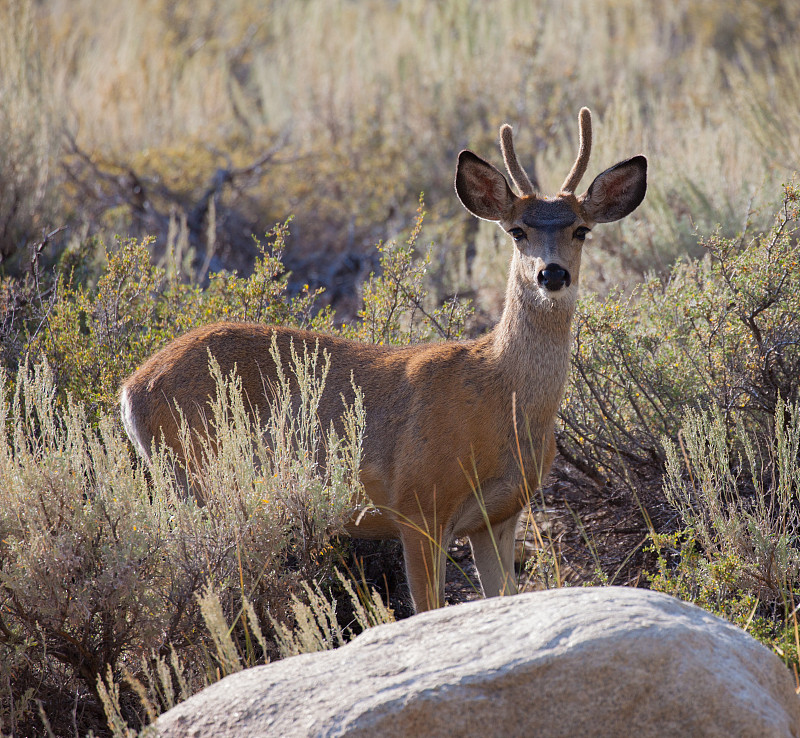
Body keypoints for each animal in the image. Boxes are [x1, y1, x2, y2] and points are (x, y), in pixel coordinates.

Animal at [122, 109, 648, 612]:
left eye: (581, 230)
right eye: (517, 231)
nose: (551, 274)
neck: (501, 399)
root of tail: (131, 388)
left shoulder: (500, 515)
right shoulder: (418, 504)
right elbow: (426, 609)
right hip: (198, 472)